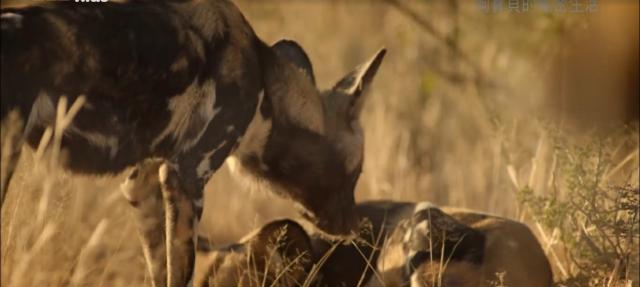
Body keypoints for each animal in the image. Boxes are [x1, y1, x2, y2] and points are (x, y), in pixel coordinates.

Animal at [0, 1, 384, 286]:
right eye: (355, 174)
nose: (357, 228)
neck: (267, 90)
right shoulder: (186, 178)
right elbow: (180, 274)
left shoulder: (143, 184)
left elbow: (159, 271)